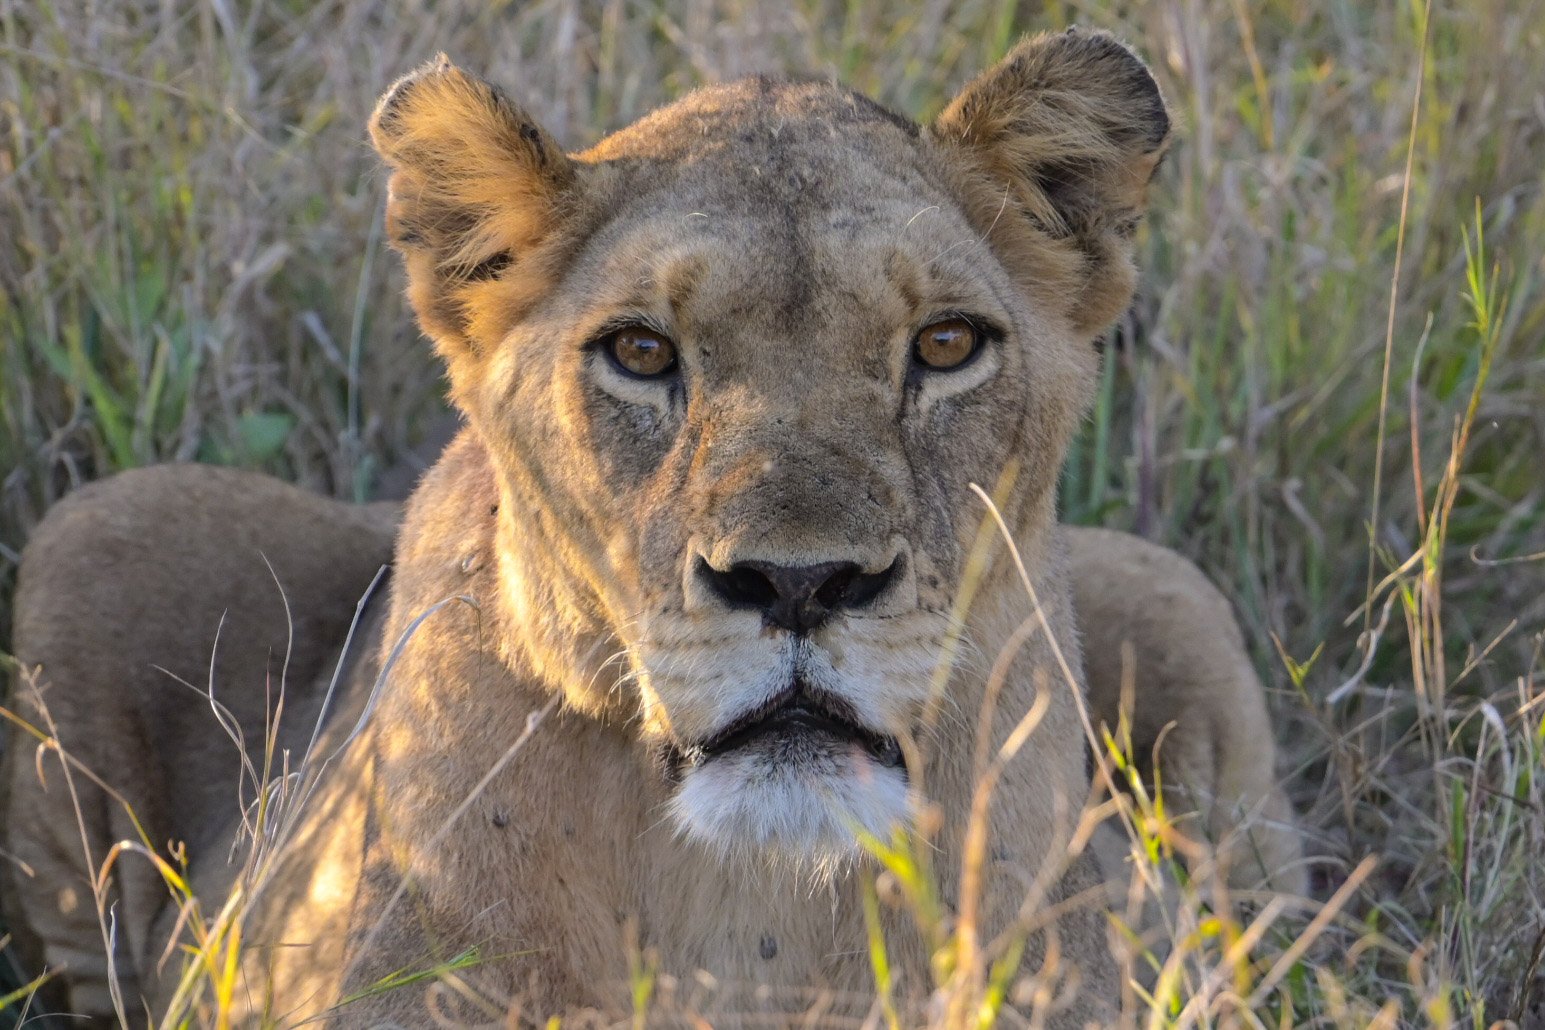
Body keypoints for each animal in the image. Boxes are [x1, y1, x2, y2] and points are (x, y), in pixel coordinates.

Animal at [2, 30, 1304, 1027]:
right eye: (640, 352)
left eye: (944, 344)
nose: (799, 583)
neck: (750, 913)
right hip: (100, 526)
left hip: (1179, 601)